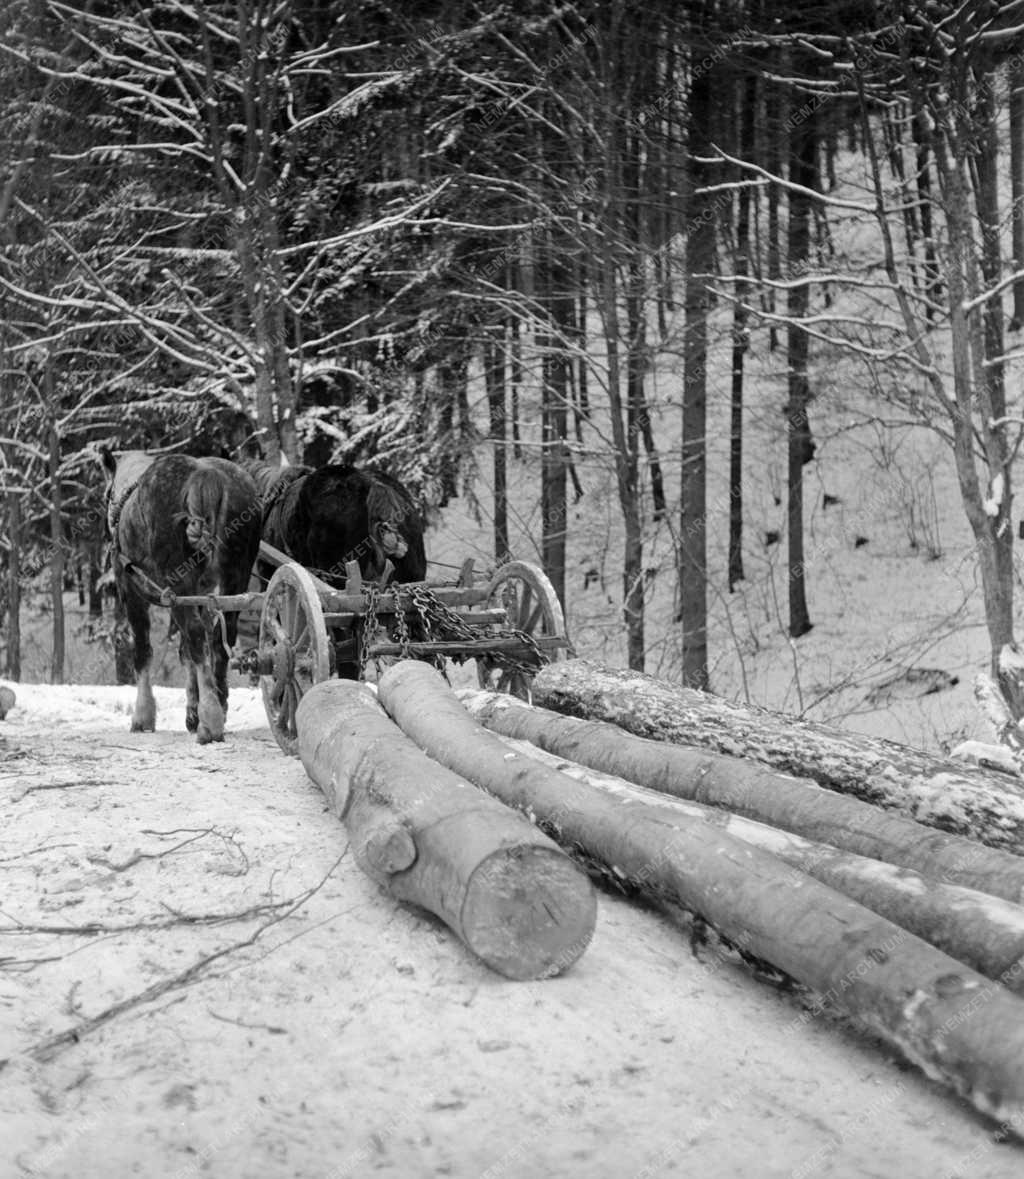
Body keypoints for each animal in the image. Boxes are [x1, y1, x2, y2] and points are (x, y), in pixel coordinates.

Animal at [102, 445, 261, 740]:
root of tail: (205, 473)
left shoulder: (131, 591)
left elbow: (142, 650)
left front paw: (143, 715)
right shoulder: (200, 593)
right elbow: (187, 651)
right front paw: (192, 712)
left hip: (178, 583)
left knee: (197, 635)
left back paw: (210, 719)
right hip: (236, 579)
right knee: (218, 639)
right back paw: (218, 705)